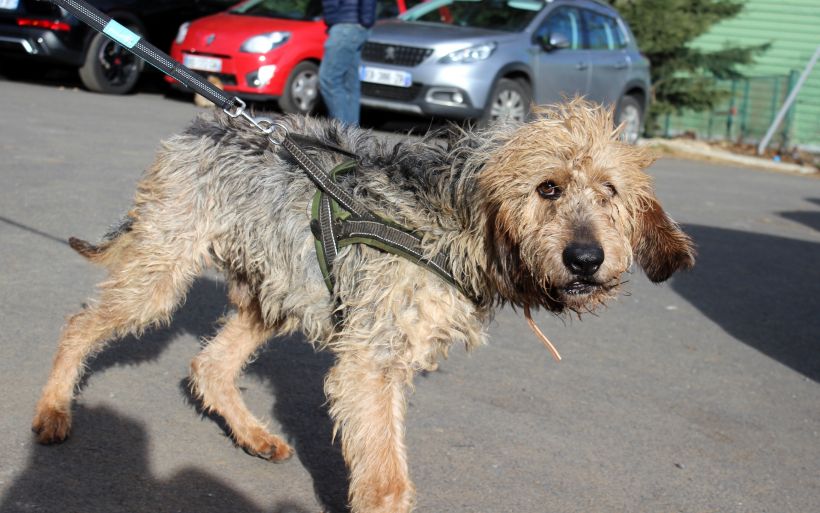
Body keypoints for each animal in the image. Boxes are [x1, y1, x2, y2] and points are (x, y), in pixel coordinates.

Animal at [35, 98, 696, 510]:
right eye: (547, 188)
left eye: (610, 192)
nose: (586, 259)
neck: (453, 217)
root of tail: (200, 128)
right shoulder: (371, 363)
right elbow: (385, 482)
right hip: (159, 276)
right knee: (79, 322)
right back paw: (53, 410)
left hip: (275, 292)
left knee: (209, 364)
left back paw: (254, 435)